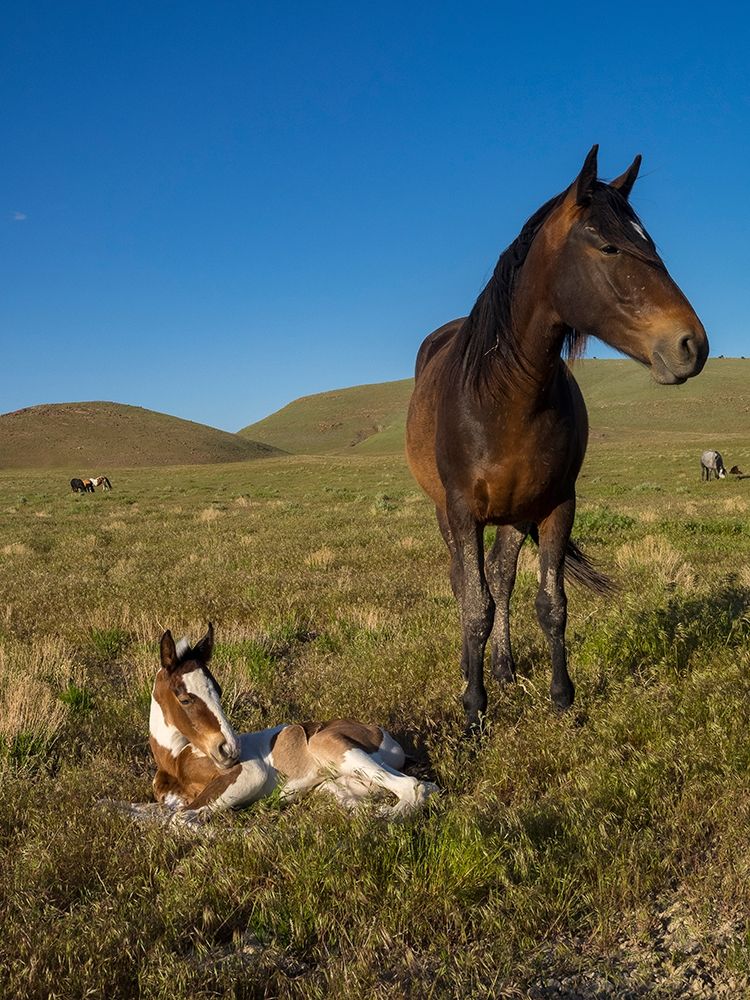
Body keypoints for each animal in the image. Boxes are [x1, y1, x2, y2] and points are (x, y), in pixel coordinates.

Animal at [134, 623, 438, 826]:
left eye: (218, 691)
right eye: (185, 699)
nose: (229, 749)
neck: (175, 760)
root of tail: (383, 734)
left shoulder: (249, 772)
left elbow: (179, 820)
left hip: (330, 746)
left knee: (412, 786)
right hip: (337, 785)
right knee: (423, 787)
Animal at [406, 146, 708, 731]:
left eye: (651, 245)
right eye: (610, 246)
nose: (693, 345)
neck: (505, 396)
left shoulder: (555, 506)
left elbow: (550, 604)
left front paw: (563, 699)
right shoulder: (462, 510)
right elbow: (474, 605)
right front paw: (474, 709)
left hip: (514, 515)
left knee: (501, 578)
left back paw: (501, 667)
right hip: (447, 514)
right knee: (464, 583)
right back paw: (472, 668)